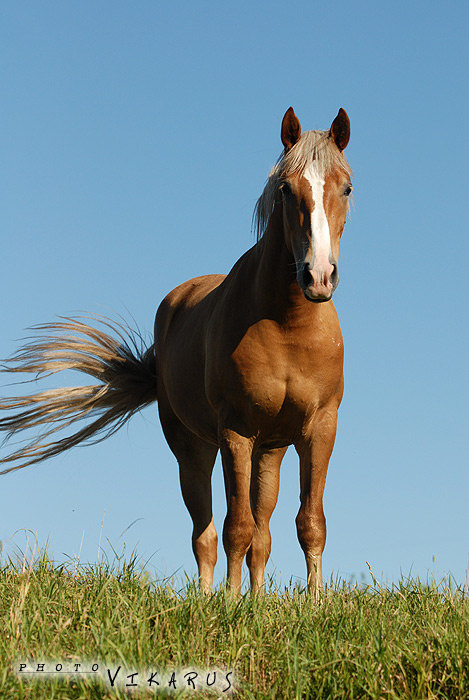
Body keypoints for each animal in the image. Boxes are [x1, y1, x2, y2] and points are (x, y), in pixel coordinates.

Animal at [0, 108, 352, 596]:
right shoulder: (235, 433)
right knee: (207, 533)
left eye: (347, 187)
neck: (288, 325)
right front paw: (229, 603)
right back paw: (208, 598)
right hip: (194, 448)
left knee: (262, 534)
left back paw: (257, 599)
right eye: (286, 188)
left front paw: (314, 604)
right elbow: (236, 528)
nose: (317, 276)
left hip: (270, 450)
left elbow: (309, 524)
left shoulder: (319, 429)